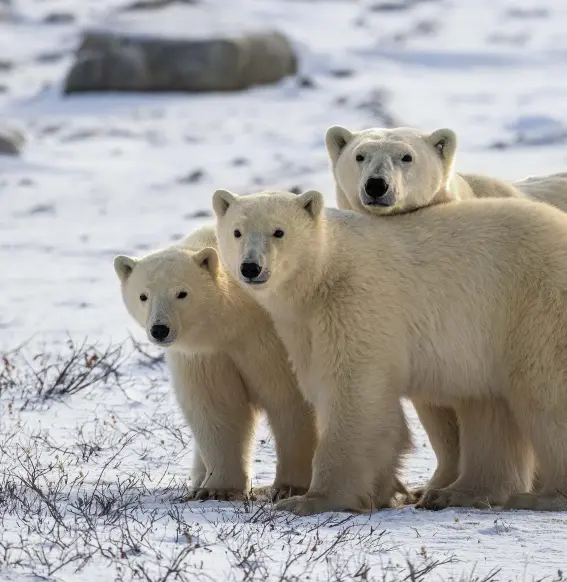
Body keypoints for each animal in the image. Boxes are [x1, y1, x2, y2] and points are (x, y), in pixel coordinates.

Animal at [114, 226, 320, 504]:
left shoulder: (270, 341)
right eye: (143, 296)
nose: (159, 329)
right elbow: (216, 408)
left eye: (182, 293)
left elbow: (290, 399)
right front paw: (217, 489)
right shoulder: (206, 355)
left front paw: (289, 487)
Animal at [214, 187, 567, 516]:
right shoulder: (303, 326)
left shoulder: (356, 300)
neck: (326, 272)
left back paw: (541, 497)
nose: (250, 267)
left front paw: (312, 499)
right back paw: (456, 493)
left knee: (544, 391)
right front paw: (379, 491)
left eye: (279, 231)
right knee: (489, 407)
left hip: (536, 304)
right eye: (237, 231)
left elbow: (352, 391)